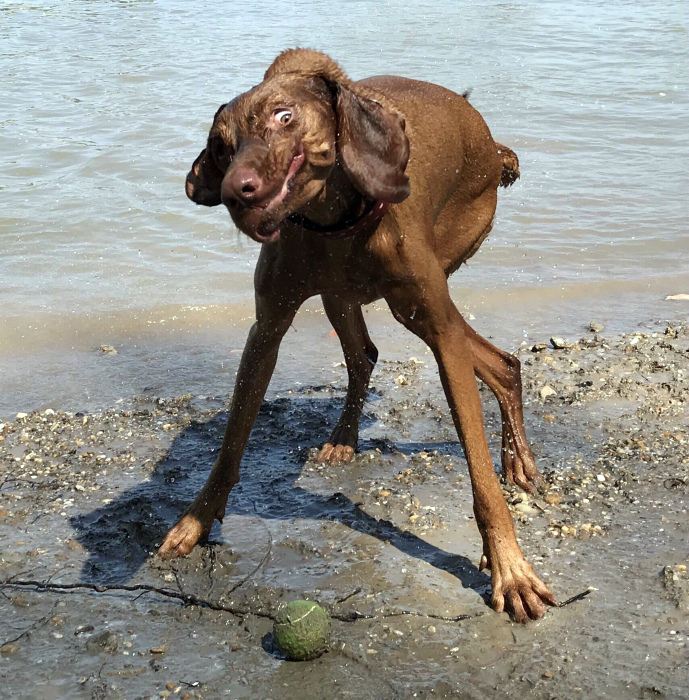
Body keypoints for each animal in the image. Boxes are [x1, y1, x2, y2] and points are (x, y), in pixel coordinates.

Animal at [159, 49, 556, 620]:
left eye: (284, 116)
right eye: (221, 145)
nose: (235, 190)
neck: (334, 221)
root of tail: (490, 140)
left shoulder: (437, 328)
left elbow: (480, 477)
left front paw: (510, 567)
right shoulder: (267, 329)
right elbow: (230, 447)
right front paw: (194, 522)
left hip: (425, 294)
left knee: (493, 359)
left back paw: (516, 460)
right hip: (349, 297)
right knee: (369, 354)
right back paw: (348, 439)